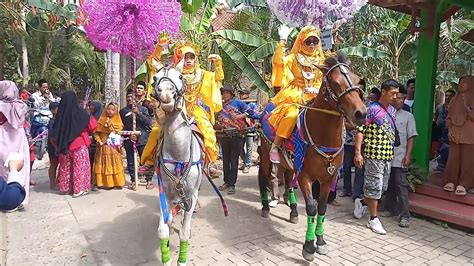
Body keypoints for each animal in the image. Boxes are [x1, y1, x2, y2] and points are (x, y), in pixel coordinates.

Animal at [153, 67, 203, 266]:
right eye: (155, 78)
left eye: (180, 76)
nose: (166, 93)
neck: (178, 156)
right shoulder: (164, 192)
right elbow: (162, 230)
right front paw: (166, 259)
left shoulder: (192, 194)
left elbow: (184, 233)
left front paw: (181, 260)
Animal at [260, 52, 366, 262]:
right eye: (335, 82)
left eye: (358, 79)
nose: (361, 113)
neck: (323, 134)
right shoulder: (305, 177)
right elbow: (311, 208)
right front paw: (309, 247)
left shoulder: (328, 178)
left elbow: (322, 208)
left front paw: (321, 241)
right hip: (267, 157)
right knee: (264, 179)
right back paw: (266, 208)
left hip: (289, 163)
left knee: (287, 181)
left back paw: (293, 211)